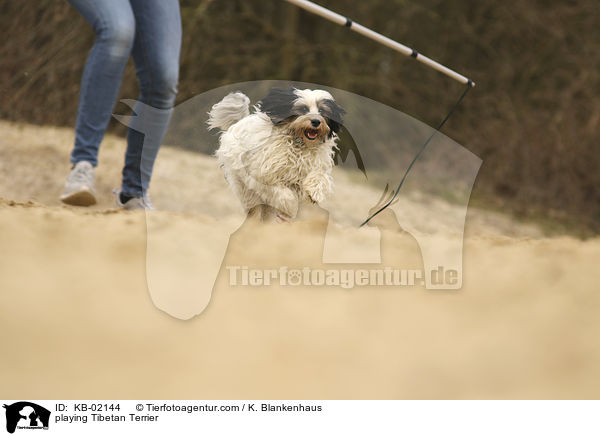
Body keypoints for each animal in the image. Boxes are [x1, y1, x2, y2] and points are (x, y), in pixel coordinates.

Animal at [207, 86, 344, 220]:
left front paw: (315, 192)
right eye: (303, 109)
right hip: (244, 187)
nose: (316, 121)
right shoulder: (264, 176)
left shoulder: (315, 166)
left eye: (322, 111)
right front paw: (290, 209)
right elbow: (284, 194)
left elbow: (320, 176)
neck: (298, 145)